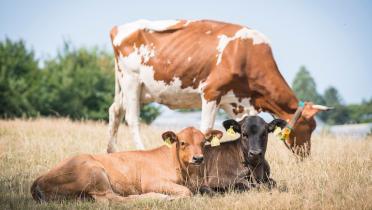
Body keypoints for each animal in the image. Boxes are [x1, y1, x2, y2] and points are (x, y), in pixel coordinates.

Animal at [30, 127, 222, 203]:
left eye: (204, 142)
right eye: (182, 143)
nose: (198, 158)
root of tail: (39, 178)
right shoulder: (152, 182)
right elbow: (186, 192)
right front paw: (172, 197)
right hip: (96, 173)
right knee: (114, 200)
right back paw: (157, 197)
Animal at [107, 18, 332, 155]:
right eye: (309, 127)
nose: (306, 155)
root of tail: (118, 28)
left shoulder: (238, 103)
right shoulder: (211, 92)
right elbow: (205, 128)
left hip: (131, 87)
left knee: (115, 110)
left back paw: (110, 152)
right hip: (131, 80)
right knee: (132, 119)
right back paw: (141, 151)